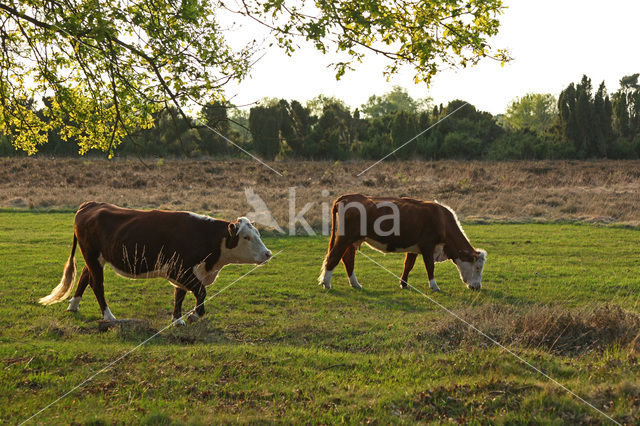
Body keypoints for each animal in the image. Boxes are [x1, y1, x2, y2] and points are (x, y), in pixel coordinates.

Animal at [39, 201, 270, 324]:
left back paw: (73, 306)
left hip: (95, 258)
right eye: (246, 237)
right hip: (92, 255)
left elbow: (180, 295)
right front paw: (196, 314)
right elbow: (200, 291)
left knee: (85, 277)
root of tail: (92, 204)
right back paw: (109, 316)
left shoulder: (183, 271)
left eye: (258, 233)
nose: (267, 254)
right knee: (97, 285)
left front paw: (178, 320)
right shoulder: (179, 269)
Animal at [318, 194, 488, 292]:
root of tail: (348, 197)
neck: (441, 219)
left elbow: (408, 265)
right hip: (344, 238)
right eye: (477, 268)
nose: (477, 287)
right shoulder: (427, 246)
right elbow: (429, 267)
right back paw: (327, 283)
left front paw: (404, 284)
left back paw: (355, 284)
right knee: (334, 257)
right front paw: (434, 286)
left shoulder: (414, 248)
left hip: (352, 241)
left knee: (347, 259)